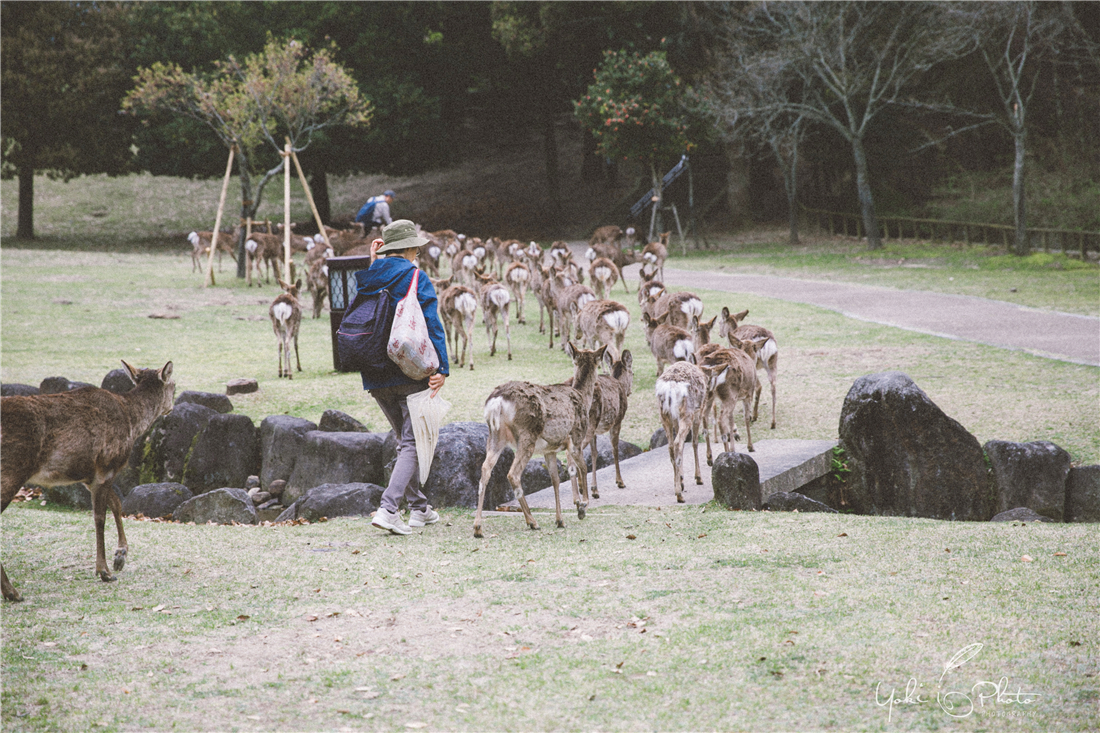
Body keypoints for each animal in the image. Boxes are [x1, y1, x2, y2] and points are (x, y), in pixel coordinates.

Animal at [1, 358, 176, 598]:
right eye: (174, 386)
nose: (172, 407)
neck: (132, 423)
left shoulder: (88, 475)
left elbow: (117, 503)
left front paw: (120, 556)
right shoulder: (107, 465)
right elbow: (100, 517)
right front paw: (105, 571)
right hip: (12, 468)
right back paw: (12, 592)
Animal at [475, 343, 611, 537]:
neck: (583, 398)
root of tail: (497, 402)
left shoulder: (550, 450)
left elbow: (555, 479)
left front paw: (560, 520)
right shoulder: (576, 438)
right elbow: (582, 468)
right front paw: (582, 506)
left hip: (495, 435)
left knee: (485, 469)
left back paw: (478, 527)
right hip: (527, 435)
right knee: (513, 474)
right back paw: (532, 521)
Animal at [651, 358, 712, 501]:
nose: (709, 393)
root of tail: (670, 388)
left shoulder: (676, 419)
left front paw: (682, 478)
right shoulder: (698, 412)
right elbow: (695, 442)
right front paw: (698, 477)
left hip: (665, 415)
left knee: (671, 446)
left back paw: (677, 486)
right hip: (687, 413)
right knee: (678, 443)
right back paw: (679, 494)